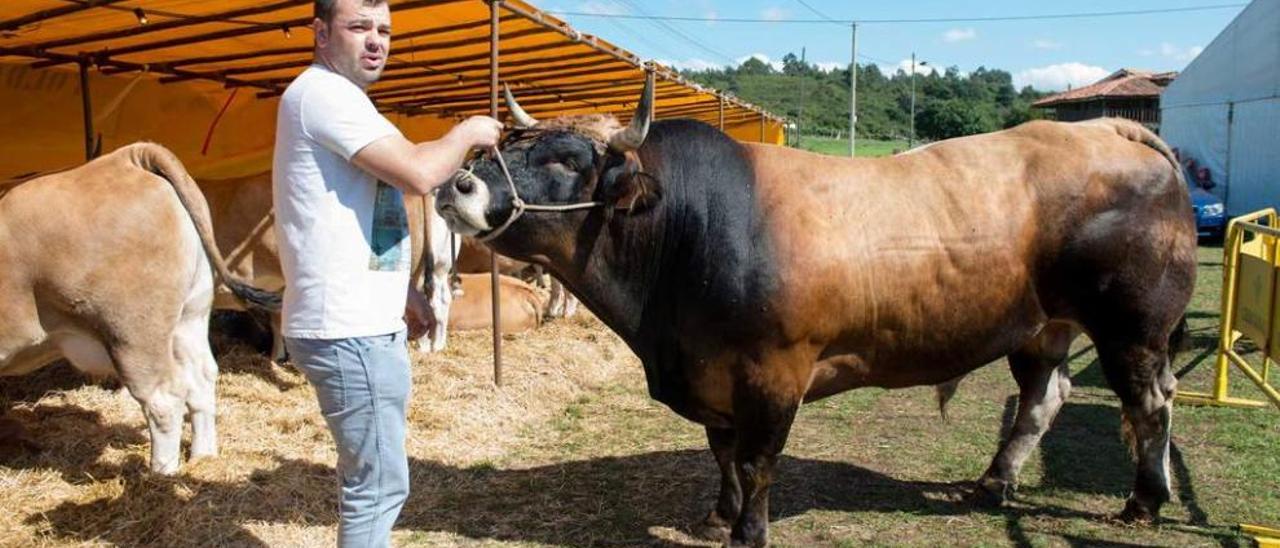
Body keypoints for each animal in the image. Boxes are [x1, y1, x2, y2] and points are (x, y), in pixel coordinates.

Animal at [0, 143, 279, 473]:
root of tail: (128, 156)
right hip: (189, 316)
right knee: (202, 379)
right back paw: (203, 456)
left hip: (133, 334)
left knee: (164, 400)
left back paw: (162, 472)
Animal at [437, 78, 1198, 548]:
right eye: (508, 145)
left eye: (567, 160)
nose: (458, 183)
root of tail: (1114, 130)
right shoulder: (713, 374)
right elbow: (722, 454)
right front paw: (717, 517)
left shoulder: (773, 373)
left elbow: (757, 462)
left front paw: (749, 531)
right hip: (1045, 326)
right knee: (1044, 397)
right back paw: (993, 483)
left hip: (1132, 329)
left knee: (1150, 404)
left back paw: (1144, 502)